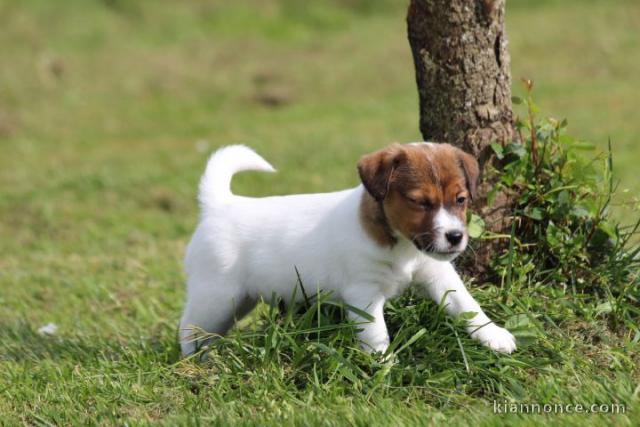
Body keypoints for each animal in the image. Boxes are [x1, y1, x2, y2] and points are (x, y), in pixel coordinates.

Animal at [178, 144, 516, 358]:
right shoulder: (363, 292)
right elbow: (376, 333)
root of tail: (220, 204)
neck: (402, 246)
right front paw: (382, 365)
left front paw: (494, 335)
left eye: (460, 199)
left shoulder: (437, 274)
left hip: (241, 300)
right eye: (419, 202)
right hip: (217, 296)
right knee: (189, 329)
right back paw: (195, 363)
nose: (455, 237)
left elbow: (467, 305)